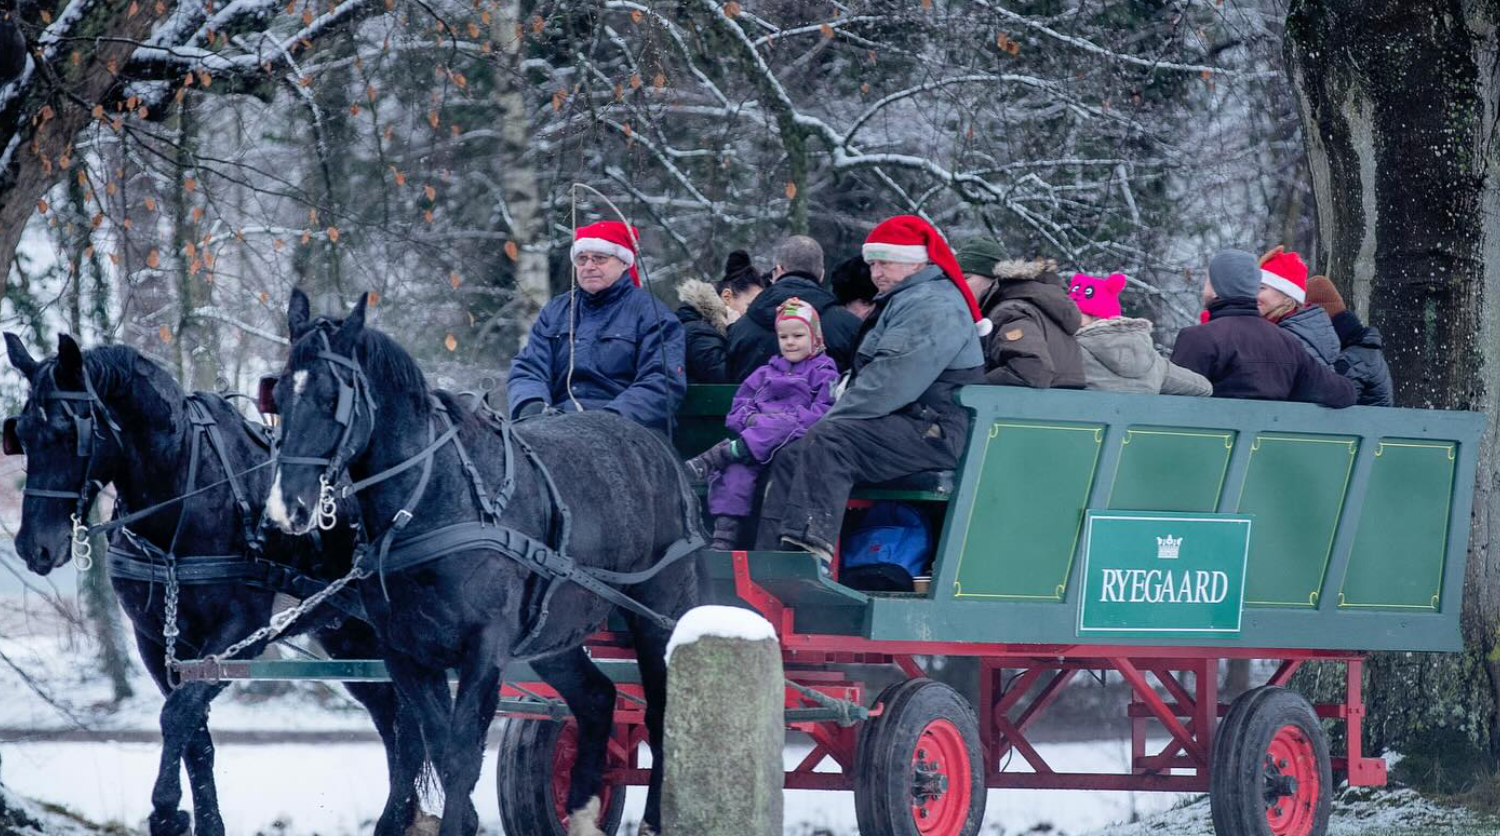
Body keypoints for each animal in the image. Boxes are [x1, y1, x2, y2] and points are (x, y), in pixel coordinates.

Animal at [7, 333, 429, 834]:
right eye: (21, 435)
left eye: (68, 432)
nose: (33, 546)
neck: (184, 498)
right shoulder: (154, 639)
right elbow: (195, 736)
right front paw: (202, 820)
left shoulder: (242, 630)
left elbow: (178, 713)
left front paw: (167, 809)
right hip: (349, 636)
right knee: (393, 719)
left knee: (411, 723)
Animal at [268, 288, 702, 834]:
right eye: (279, 397)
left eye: (333, 400)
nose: (287, 507)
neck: (433, 501)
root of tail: (661, 450)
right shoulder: (406, 654)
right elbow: (439, 746)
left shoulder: (485, 649)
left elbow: (460, 757)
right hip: (553, 637)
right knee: (598, 700)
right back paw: (581, 812)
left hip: (659, 614)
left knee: (661, 713)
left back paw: (655, 819)